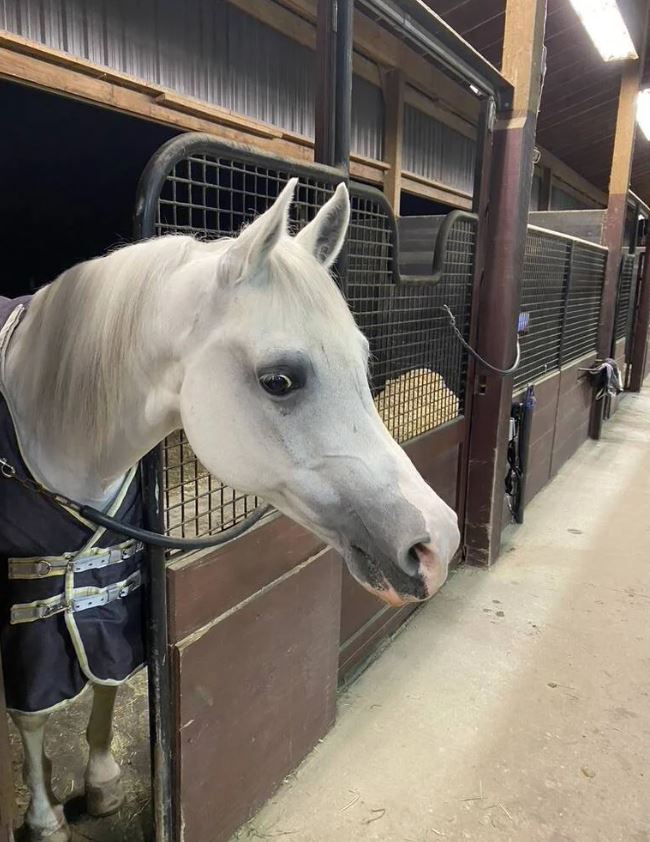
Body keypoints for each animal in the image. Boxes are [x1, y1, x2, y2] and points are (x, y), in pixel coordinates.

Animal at [0, 179, 460, 841]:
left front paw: (103, 781)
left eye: (362, 359)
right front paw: (45, 818)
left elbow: (106, 674)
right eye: (279, 380)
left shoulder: (107, 581)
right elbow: (35, 714)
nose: (437, 542)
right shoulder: (29, 600)